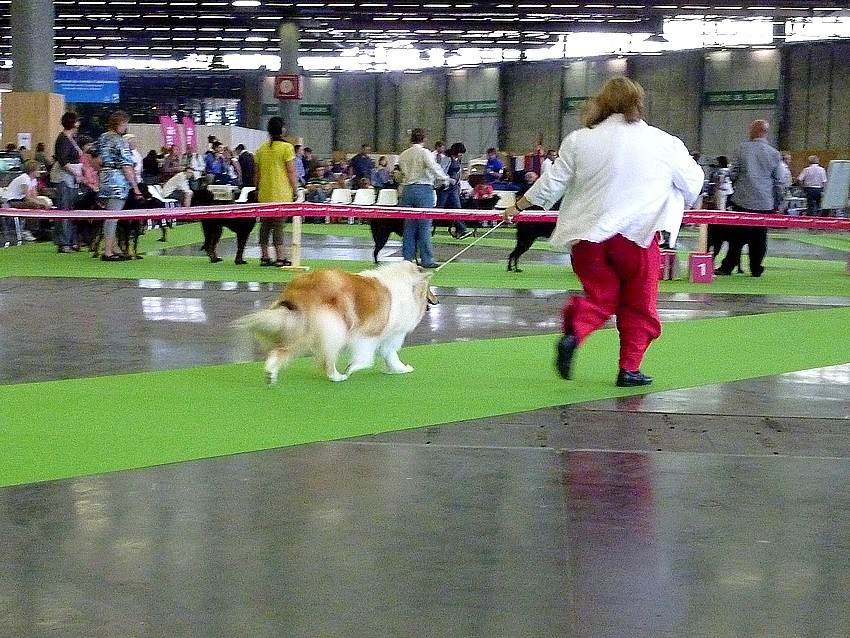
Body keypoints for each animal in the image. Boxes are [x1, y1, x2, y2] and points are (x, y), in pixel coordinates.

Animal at [235, 262, 434, 384]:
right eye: (430, 286)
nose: (436, 300)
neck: (408, 285)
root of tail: (304, 284)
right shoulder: (372, 333)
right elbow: (367, 358)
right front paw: (352, 368)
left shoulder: (387, 336)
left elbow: (390, 355)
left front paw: (399, 369)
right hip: (332, 327)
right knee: (325, 357)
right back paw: (336, 376)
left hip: (301, 326)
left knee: (281, 349)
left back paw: (270, 373)